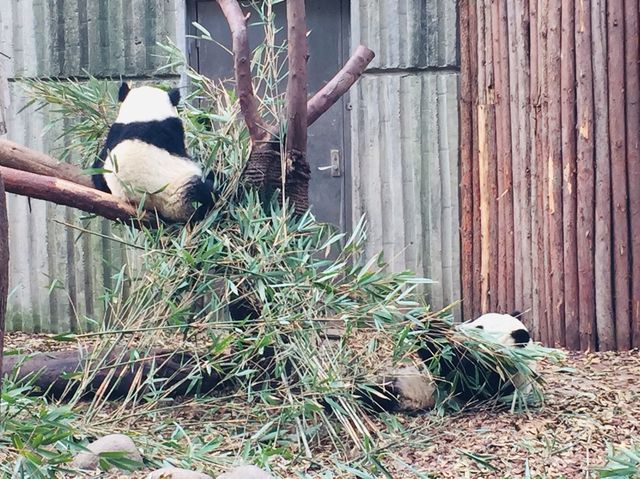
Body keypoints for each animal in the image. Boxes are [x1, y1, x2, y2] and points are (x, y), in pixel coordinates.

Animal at [92, 83, 216, 225]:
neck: (144, 114)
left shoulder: (116, 132)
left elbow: (98, 169)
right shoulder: (171, 132)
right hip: (182, 187)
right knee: (209, 189)